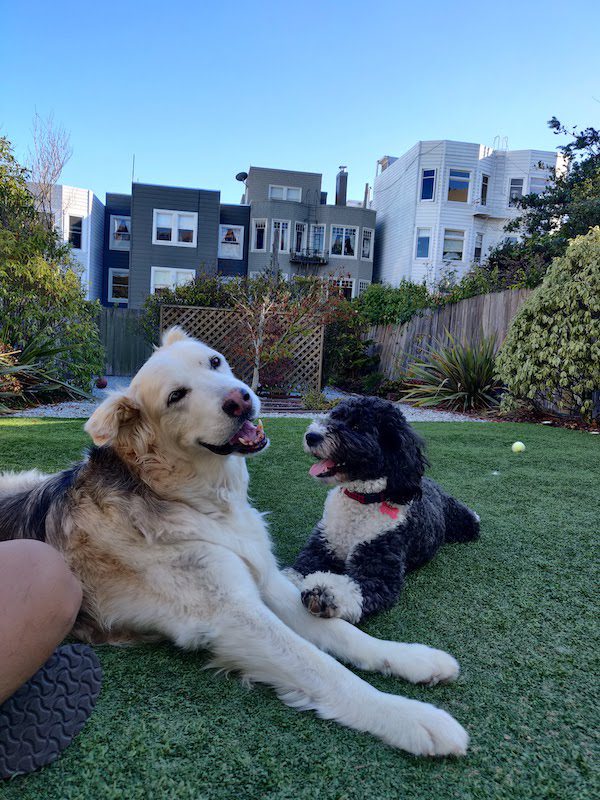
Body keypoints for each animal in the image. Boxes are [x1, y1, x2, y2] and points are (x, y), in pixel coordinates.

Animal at [288, 398, 482, 624]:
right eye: (335, 416)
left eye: (356, 427)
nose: (312, 436)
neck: (361, 500)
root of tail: (429, 481)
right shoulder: (321, 545)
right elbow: (299, 567)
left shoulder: (381, 566)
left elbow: (357, 588)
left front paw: (323, 590)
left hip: (461, 521)